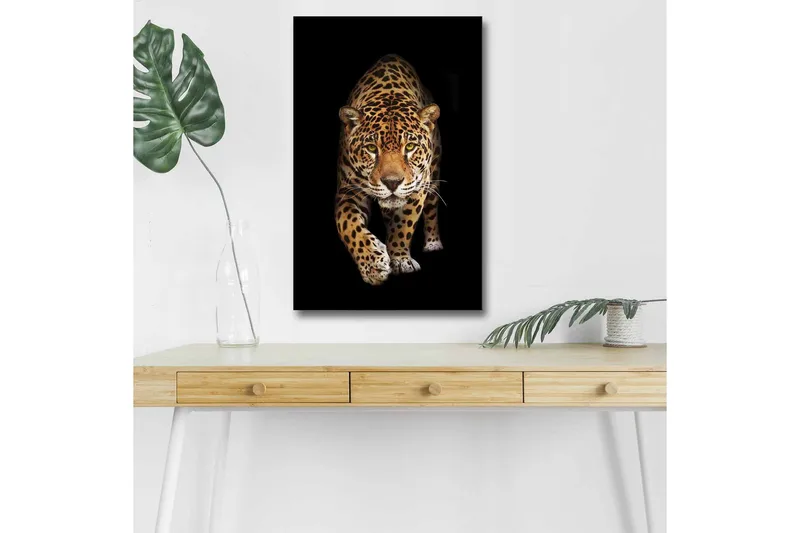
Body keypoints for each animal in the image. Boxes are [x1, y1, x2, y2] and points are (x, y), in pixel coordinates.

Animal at [336, 54, 444, 286]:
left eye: (410, 147)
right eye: (371, 148)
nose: (392, 182)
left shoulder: (417, 187)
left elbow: (403, 225)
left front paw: (400, 260)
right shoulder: (349, 191)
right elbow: (348, 225)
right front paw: (373, 265)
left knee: (431, 209)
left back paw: (433, 243)